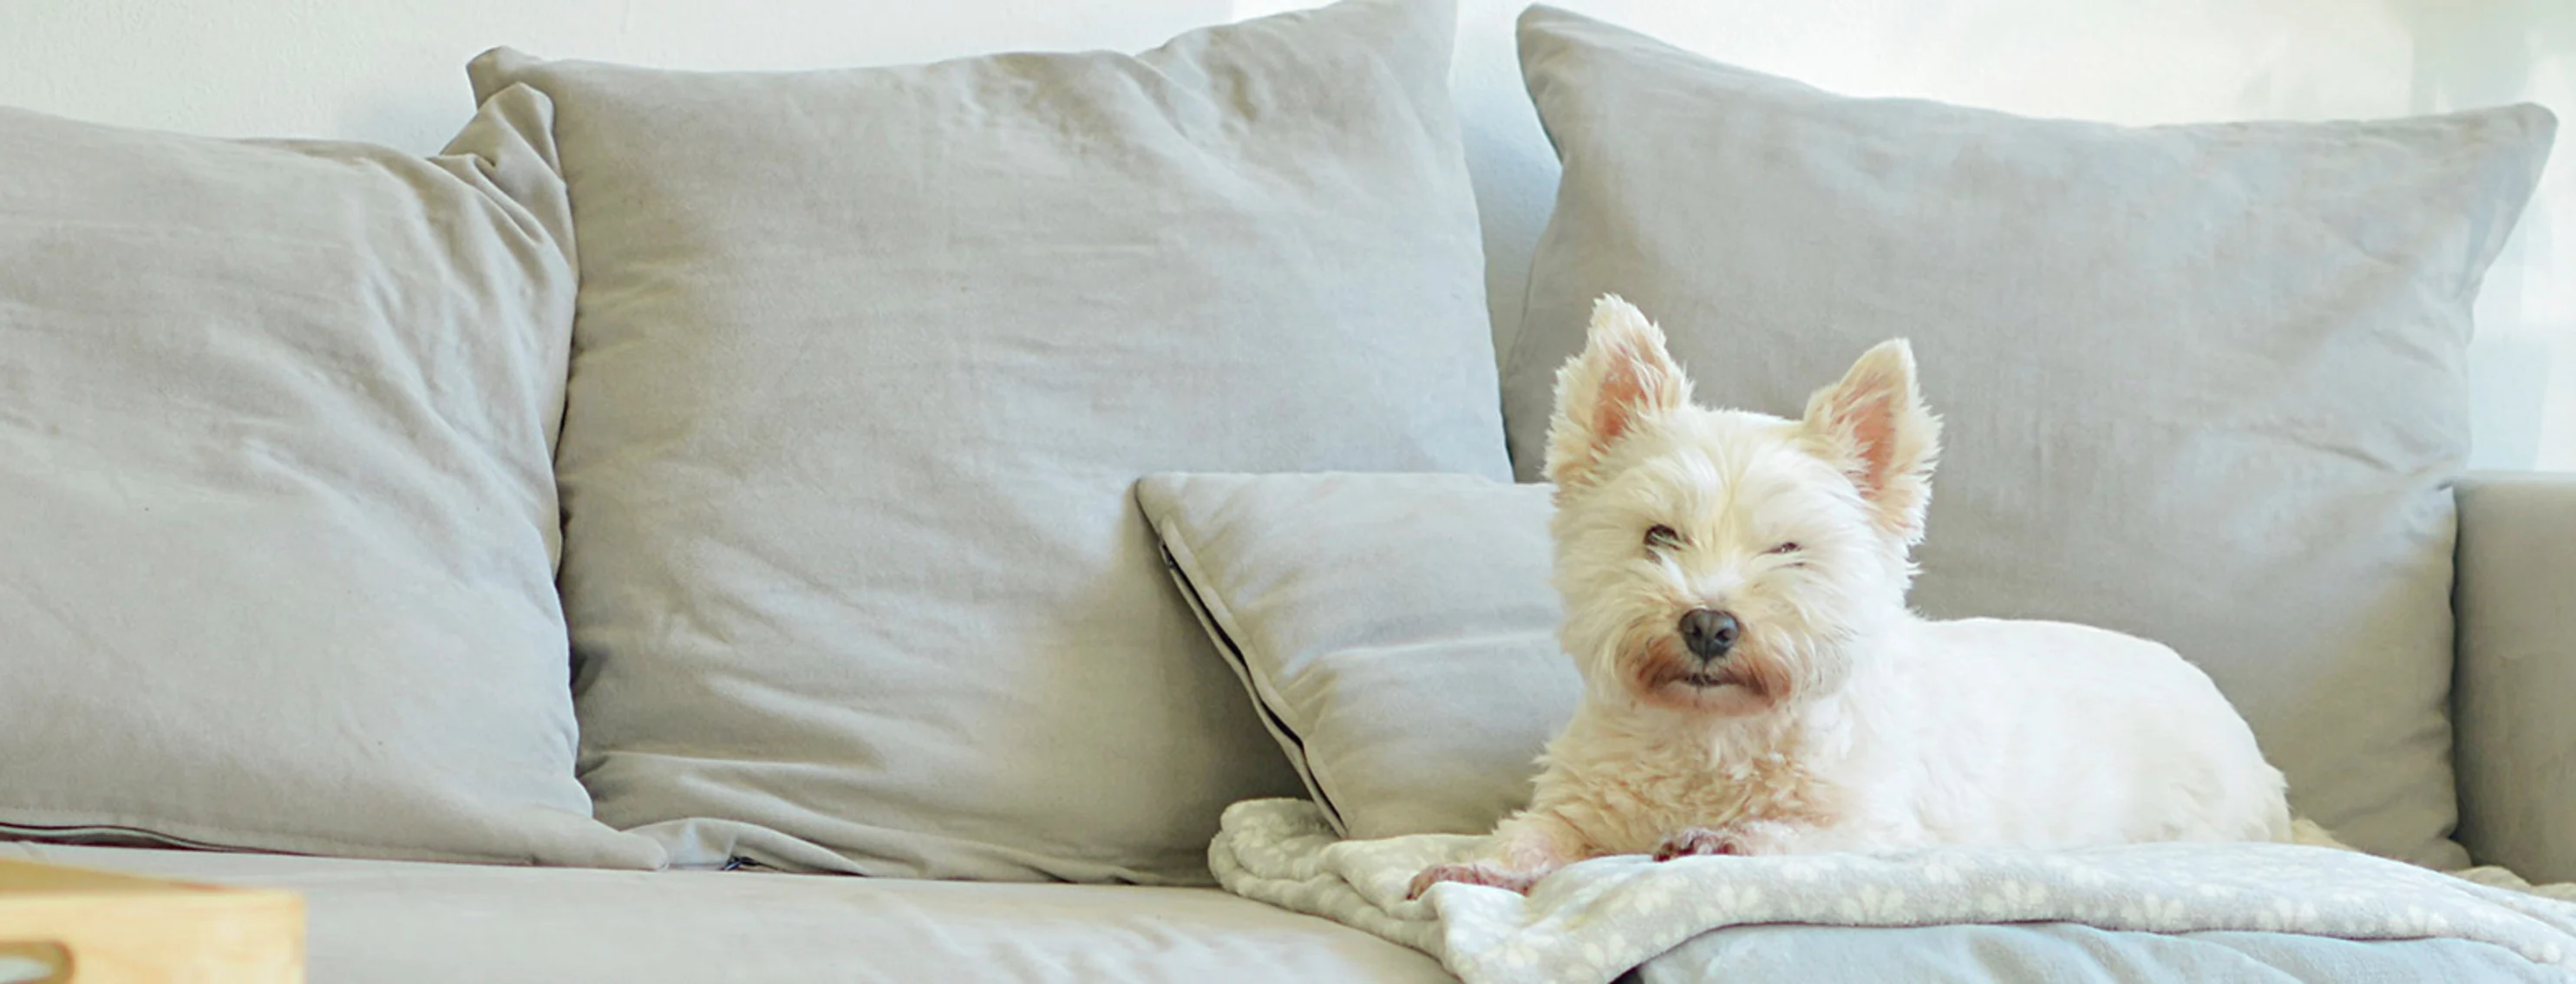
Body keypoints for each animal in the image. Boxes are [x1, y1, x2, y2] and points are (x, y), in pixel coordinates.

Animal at [1411, 293, 2318, 902]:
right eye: (1658, 536)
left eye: (1788, 551)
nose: (1708, 623)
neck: (1715, 737)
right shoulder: (1583, 802)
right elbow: (1540, 832)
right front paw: (1482, 862)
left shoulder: (1875, 823)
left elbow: (1795, 833)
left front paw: (1720, 840)